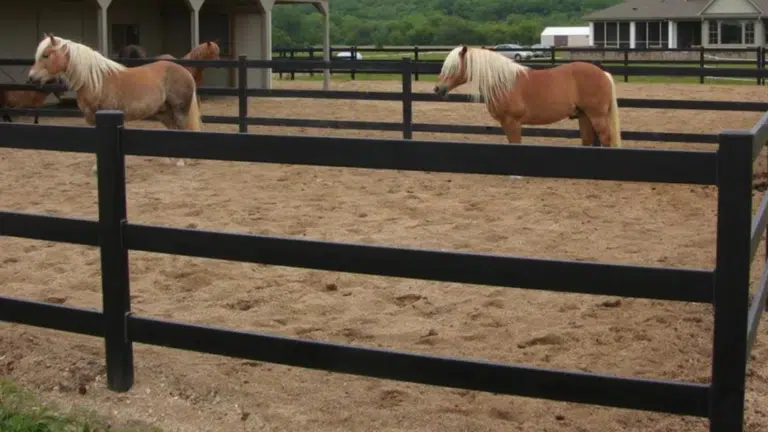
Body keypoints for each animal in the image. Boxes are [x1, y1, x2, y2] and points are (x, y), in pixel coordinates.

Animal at [27, 33, 203, 170]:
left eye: (46, 55)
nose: (31, 78)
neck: (96, 81)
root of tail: (184, 71)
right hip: (164, 112)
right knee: (173, 131)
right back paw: (172, 159)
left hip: (179, 110)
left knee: (182, 130)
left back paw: (181, 162)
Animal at [434, 45, 622, 148]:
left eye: (453, 67)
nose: (438, 89)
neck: (504, 82)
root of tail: (603, 73)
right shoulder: (506, 123)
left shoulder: (513, 122)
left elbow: (516, 143)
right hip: (583, 116)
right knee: (587, 139)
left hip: (596, 115)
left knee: (605, 138)